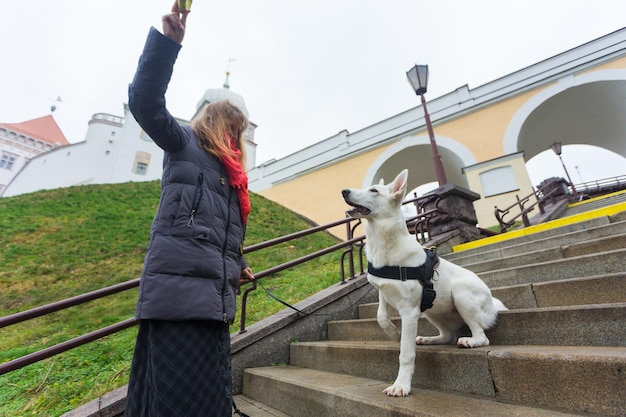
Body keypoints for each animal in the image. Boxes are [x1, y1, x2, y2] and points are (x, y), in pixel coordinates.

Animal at [338, 169, 504, 396]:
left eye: (373, 190)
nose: (343, 191)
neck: (386, 243)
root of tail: (492, 304)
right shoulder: (383, 292)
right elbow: (381, 317)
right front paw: (393, 333)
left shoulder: (409, 312)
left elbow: (406, 353)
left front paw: (401, 385)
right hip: (430, 309)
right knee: (447, 335)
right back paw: (428, 339)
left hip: (460, 293)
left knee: (481, 335)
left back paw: (470, 340)